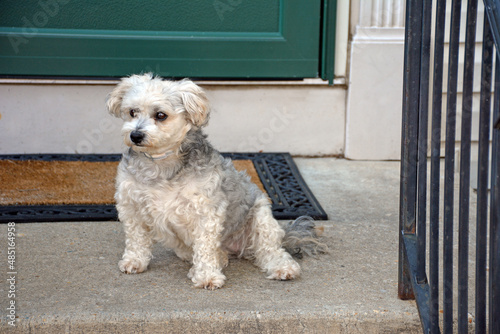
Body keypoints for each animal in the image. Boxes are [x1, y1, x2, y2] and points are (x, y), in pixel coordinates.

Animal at [106, 74, 324, 288]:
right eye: (132, 112)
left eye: (161, 115)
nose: (135, 135)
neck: (161, 165)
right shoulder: (130, 206)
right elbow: (136, 239)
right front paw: (135, 260)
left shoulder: (206, 212)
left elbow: (205, 247)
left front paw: (207, 275)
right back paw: (219, 258)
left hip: (262, 218)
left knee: (270, 250)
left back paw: (281, 267)